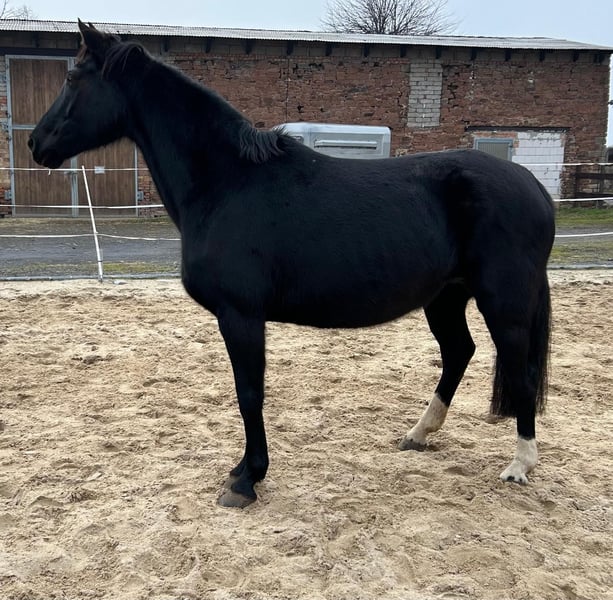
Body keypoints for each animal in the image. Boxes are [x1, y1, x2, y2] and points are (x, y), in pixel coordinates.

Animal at [29, 21, 555, 508]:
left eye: (73, 77)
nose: (36, 143)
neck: (226, 182)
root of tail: (534, 187)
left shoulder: (240, 316)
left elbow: (249, 393)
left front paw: (247, 479)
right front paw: (243, 470)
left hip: (503, 303)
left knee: (520, 371)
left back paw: (520, 465)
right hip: (445, 297)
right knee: (459, 352)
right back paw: (419, 434)